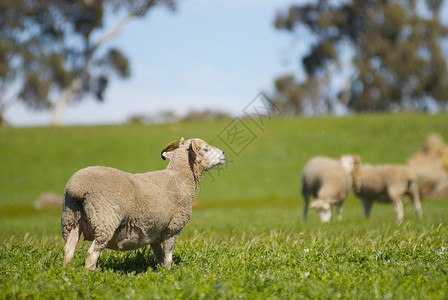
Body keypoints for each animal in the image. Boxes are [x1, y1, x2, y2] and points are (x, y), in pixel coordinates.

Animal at [61, 137, 226, 270]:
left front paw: (160, 271)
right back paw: (89, 274)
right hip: (104, 220)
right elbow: (168, 256)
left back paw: (67, 272)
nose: (224, 153)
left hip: (71, 219)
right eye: (205, 148)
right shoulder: (173, 228)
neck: (180, 175)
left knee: (68, 250)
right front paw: (169, 272)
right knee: (91, 254)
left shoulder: (154, 231)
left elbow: (159, 255)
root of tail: (77, 188)